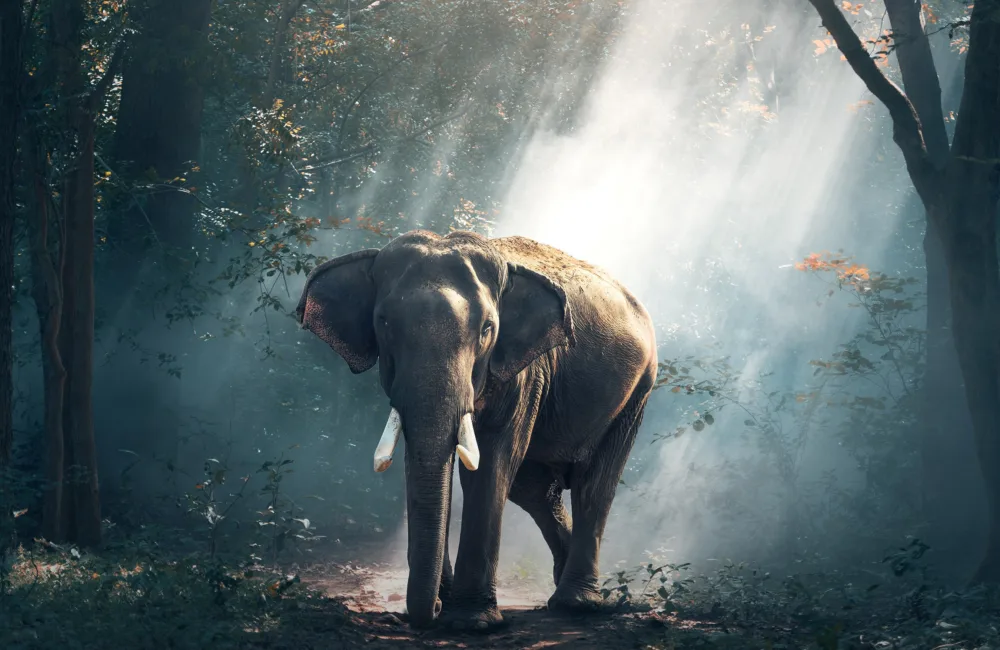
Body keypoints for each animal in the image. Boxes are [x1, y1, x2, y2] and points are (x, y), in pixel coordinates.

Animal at [295, 230, 657, 630]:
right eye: (384, 322)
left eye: (487, 329)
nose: (434, 609)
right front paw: (449, 604)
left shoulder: (524, 372)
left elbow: (492, 463)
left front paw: (472, 622)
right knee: (534, 490)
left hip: (637, 391)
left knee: (594, 484)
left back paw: (577, 604)